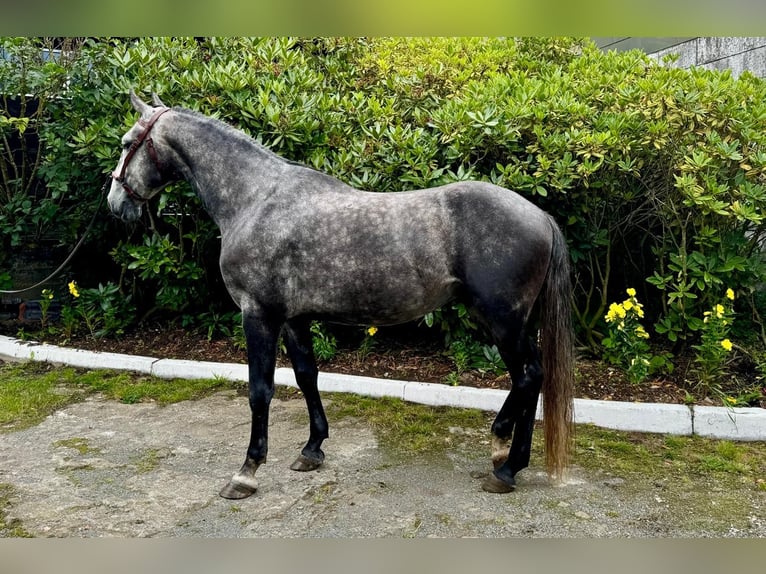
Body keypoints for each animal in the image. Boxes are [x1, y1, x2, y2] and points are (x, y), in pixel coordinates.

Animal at [108, 91, 576, 500]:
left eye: (128, 144)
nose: (115, 203)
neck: (256, 199)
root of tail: (539, 215)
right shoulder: (294, 319)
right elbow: (306, 376)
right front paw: (312, 449)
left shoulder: (258, 315)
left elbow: (260, 390)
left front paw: (247, 472)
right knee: (530, 378)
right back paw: (504, 455)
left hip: (503, 321)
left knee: (528, 376)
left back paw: (506, 463)